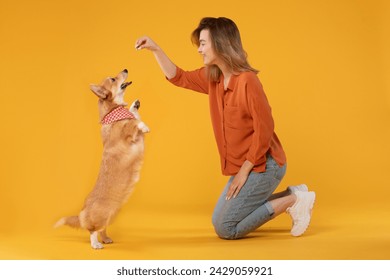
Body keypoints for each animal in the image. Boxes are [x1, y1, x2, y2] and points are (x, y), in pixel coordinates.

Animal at [53, 69, 148, 248]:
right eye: (113, 79)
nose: (125, 69)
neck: (112, 111)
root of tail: (82, 212)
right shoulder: (127, 133)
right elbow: (134, 123)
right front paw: (144, 125)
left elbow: (134, 115)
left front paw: (135, 105)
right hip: (101, 215)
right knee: (92, 230)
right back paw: (96, 244)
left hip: (112, 215)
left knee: (101, 228)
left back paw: (105, 238)